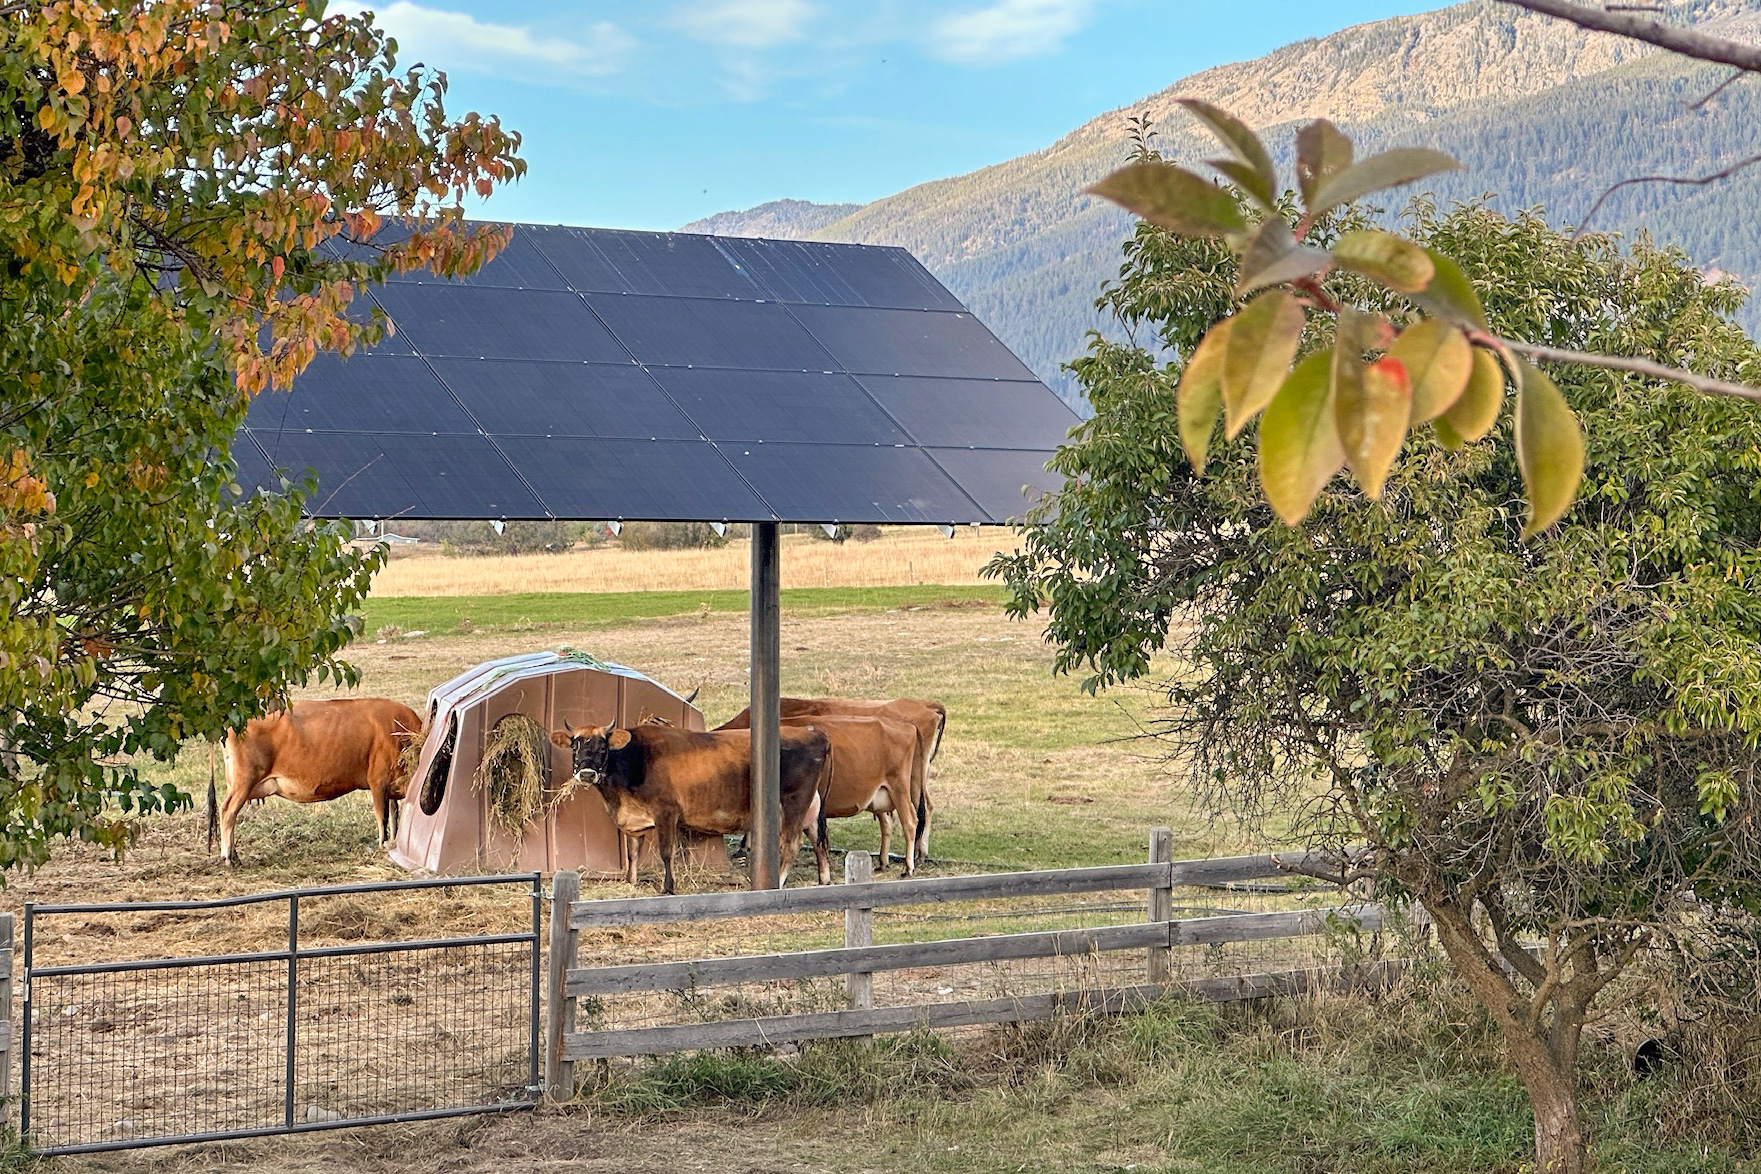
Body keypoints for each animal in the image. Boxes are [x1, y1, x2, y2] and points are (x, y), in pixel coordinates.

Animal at [211, 697, 423, 865]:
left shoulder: (391, 785)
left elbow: (394, 815)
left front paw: (393, 842)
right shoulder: (378, 781)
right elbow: (383, 816)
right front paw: (382, 844)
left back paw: (235, 856)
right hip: (243, 781)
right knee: (227, 811)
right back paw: (228, 858)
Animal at [551, 722, 831, 894]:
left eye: (602, 747)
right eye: (575, 746)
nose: (587, 773)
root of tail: (814, 733)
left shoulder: (666, 812)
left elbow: (666, 852)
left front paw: (668, 887)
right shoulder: (634, 822)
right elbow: (632, 854)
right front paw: (631, 883)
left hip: (794, 803)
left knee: (792, 845)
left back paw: (779, 883)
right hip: (810, 810)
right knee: (819, 842)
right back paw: (824, 880)